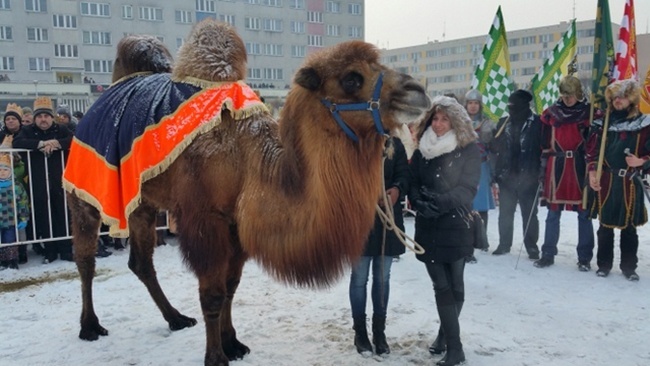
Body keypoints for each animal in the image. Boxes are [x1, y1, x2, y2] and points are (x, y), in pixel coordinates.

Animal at [64, 20, 430, 366]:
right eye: (351, 78)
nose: (418, 92)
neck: (249, 160)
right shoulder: (206, 219)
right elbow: (212, 292)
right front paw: (215, 356)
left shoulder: (235, 224)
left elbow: (230, 287)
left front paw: (233, 343)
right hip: (85, 187)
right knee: (85, 257)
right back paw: (89, 326)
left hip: (141, 203)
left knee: (141, 262)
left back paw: (176, 319)